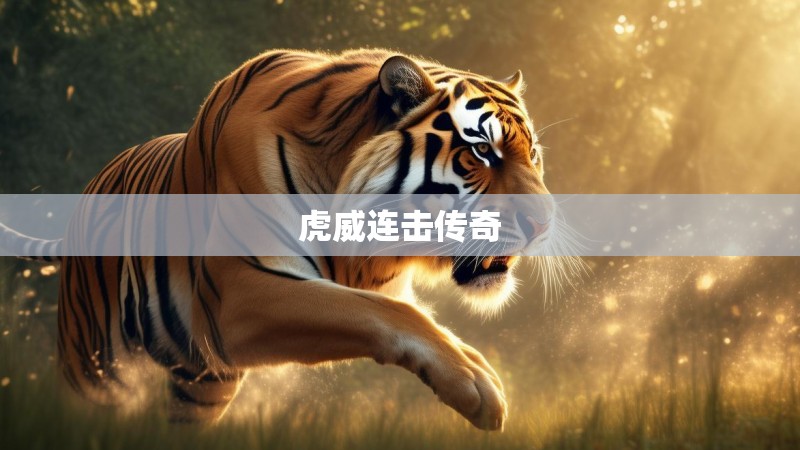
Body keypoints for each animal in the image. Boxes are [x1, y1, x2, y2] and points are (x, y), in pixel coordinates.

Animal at [0, 49, 556, 430]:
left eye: (534, 154)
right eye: (481, 152)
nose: (545, 224)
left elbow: (404, 311)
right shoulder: (238, 296)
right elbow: (388, 313)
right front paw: (476, 381)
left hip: (202, 387)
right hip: (94, 365)